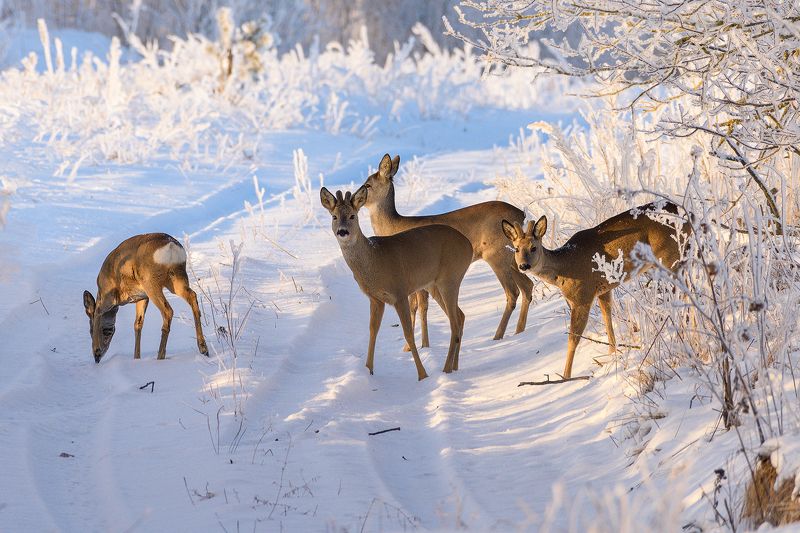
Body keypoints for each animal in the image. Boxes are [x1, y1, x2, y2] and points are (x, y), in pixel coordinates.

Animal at [82, 233, 209, 363]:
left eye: (90, 330)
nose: (97, 358)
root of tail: (171, 245)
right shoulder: (142, 297)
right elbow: (138, 324)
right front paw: (136, 358)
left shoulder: (106, 296)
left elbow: (98, 313)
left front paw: (96, 350)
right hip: (177, 277)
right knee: (192, 296)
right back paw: (203, 348)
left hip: (150, 281)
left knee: (168, 310)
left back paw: (160, 356)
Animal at [320, 186, 473, 380]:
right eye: (334, 216)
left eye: (353, 216)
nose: (342, 231)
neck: (374, 260)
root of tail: (468, 245)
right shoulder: (375, 299)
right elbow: (373, 330)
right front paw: (368, 369)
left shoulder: (399, 291)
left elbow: (408, 333)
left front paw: (422, 375)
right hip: (434, 284)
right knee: (460, 316)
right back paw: (454, 367)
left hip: (450, 277)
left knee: (454, 323)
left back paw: (445, 369)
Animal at [362, 154, 533, 351]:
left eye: (368, 184)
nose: (355, 198)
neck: (393, 227)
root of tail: (521, 214)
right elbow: (421, 306)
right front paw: (420, 346)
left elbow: (416, 306)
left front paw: (414, 347)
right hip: (513, 258)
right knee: (527, 286)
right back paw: (519, 331)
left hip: (496, 255)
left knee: (512, 293)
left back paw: (497, 336)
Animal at [502, 201, 688, 379]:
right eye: (516, 248)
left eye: (533, 247)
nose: (523, 266)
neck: (564, 268)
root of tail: (687, 216)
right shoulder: (603, 289)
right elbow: (607, 319)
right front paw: (612, 355)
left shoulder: (582, 297)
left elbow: (573, 339)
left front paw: (565, 377)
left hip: (670, 258)